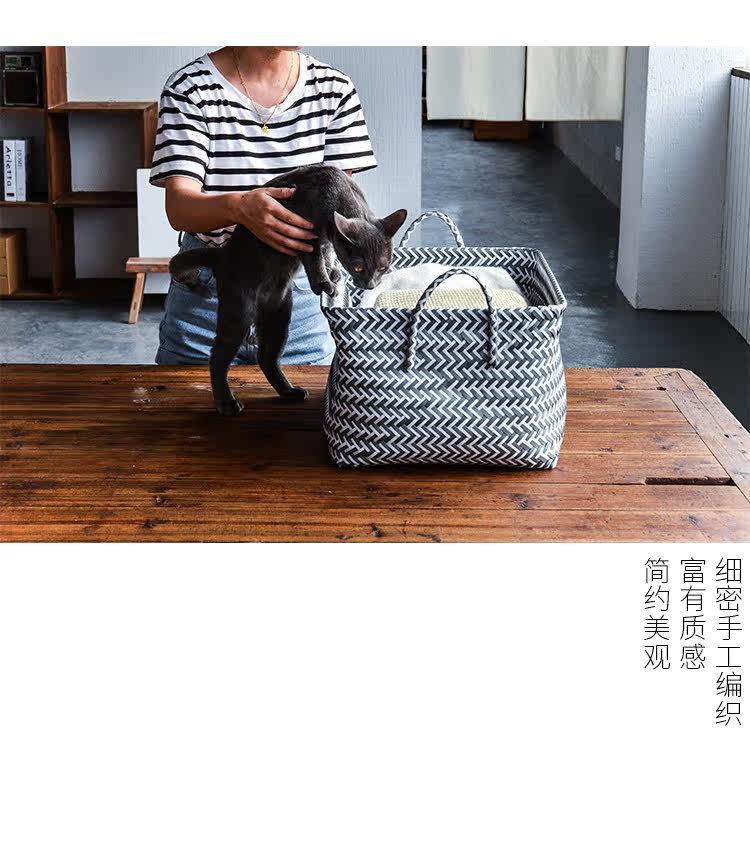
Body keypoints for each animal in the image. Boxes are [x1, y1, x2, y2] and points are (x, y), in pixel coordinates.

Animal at [169, 164, 407, 416]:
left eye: (383, 267)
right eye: (359, 267)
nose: (370, 284)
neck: (336, 191)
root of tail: (223, 255)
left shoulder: (324, 240)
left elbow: (328, 252)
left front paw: (333, 272)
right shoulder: (303, 234)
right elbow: (314, 259)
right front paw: (323, 283)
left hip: (279, 314)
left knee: (266, 356)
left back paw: (289, 391)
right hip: (238, 311)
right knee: (218, 357)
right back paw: (227, 403)